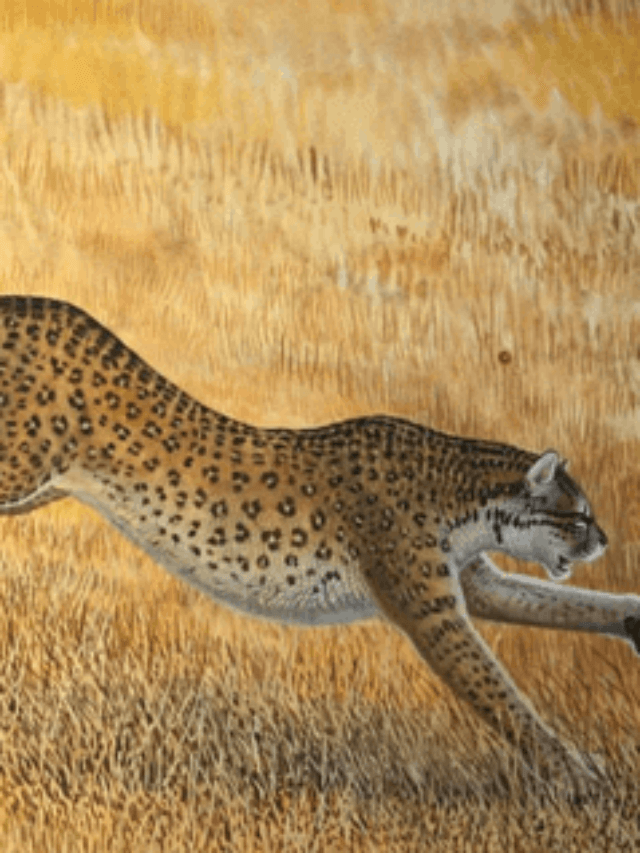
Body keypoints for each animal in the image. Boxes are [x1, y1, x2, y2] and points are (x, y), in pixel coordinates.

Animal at [0, 294, 638, 795]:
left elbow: (563, 604)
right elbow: (502, 694)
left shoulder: (472, 583)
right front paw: (575, 773)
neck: (462, 489)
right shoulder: (433, 614)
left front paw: (630, 617)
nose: (605, 541)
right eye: (579, 516)